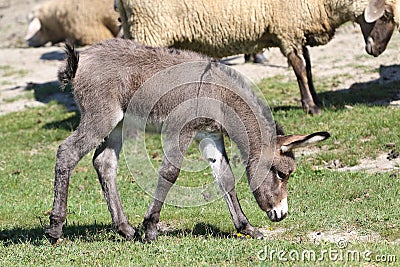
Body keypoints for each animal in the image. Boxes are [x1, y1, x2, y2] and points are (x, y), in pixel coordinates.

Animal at [115, 0, 400, 114]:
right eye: (385, 15)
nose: (375, 51)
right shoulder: (287, 29)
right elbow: (299, 68)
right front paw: (311, 107)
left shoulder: (296, 30)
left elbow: (308, 68)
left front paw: (316, 100)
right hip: (151, 28)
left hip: (134, 27)